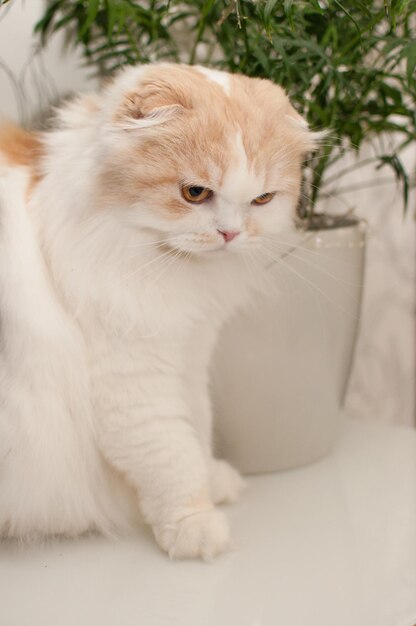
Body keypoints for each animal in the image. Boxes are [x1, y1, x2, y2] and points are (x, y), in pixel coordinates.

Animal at [0, 63, 316, 560]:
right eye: (195, 193)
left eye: (262, 200)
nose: (230, 234)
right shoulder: (132, 377)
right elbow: (171, 455)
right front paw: (194, 524)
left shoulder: (189, 353)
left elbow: (197, 426)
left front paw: (213, 480)